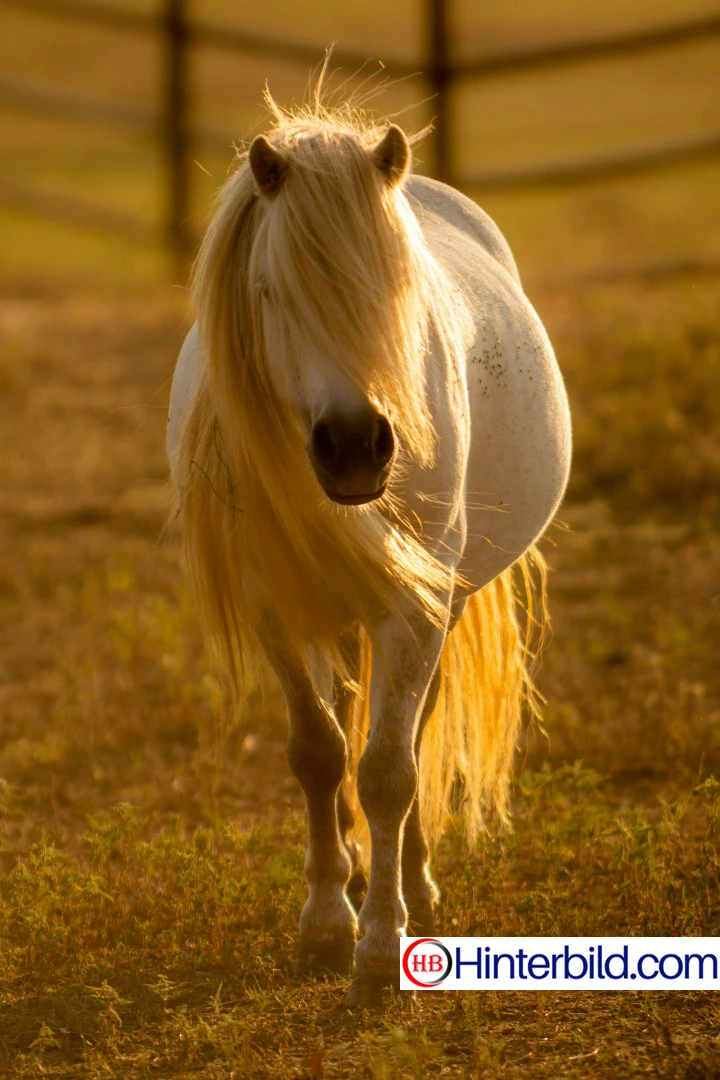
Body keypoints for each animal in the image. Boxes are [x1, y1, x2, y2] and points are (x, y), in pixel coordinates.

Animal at [167, 93, 571, 1006]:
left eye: (399, 288)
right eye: (270, 292)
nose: (355, 447)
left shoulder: (412, 607)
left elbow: (389, 769)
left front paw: (383, 942)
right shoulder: (275, 602)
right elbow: (319, 754)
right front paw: (325, 921)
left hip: (439, 605)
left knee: (413, 734)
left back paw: (413, 884)